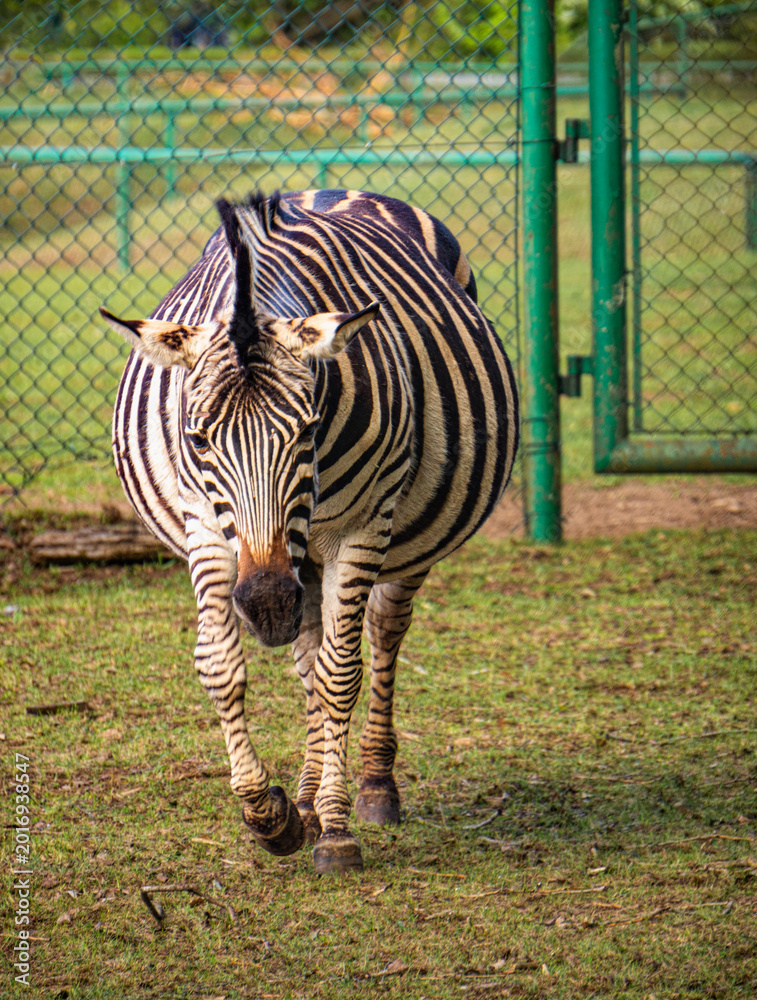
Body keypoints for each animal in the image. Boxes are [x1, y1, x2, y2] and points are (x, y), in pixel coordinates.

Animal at [103, 188, 519, 874]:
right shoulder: (205, 524)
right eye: (197, 438)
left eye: (308, 430)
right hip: (299, 562)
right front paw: (268, 815)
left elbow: (340, 673)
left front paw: (337, 832)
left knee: (379, 634)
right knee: (305, 656)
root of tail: (335, 191)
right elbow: (223, 666)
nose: (268, 602)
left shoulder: (362, 525)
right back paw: (302, 798)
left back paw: (371, 787)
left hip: (393, 543)